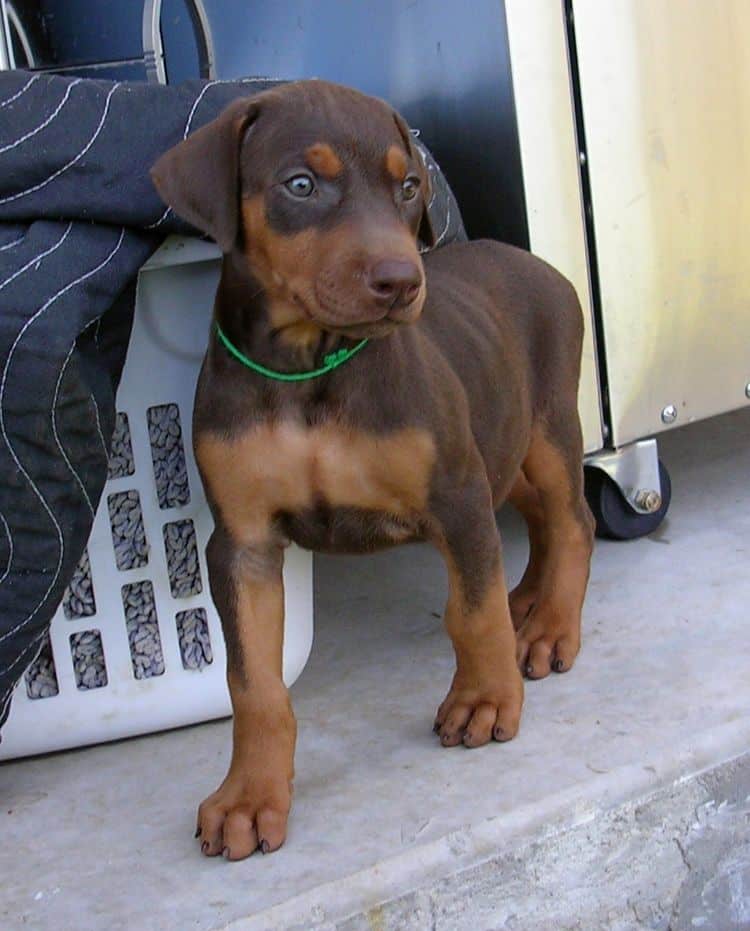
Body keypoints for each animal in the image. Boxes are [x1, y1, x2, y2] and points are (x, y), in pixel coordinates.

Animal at [153, 78, 596, 860]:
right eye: (301, 184)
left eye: (410, 186)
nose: (401, 281)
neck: (309, 364)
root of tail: (538, 262)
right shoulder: (242, 543)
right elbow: (254, 684)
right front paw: (249, 796)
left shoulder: (455, 493)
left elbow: (470, 612)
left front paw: (486, 698)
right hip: (502, 443)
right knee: (542, 519)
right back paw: (530, 599)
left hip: (545, 427)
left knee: (574, 519)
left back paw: (549, 626)